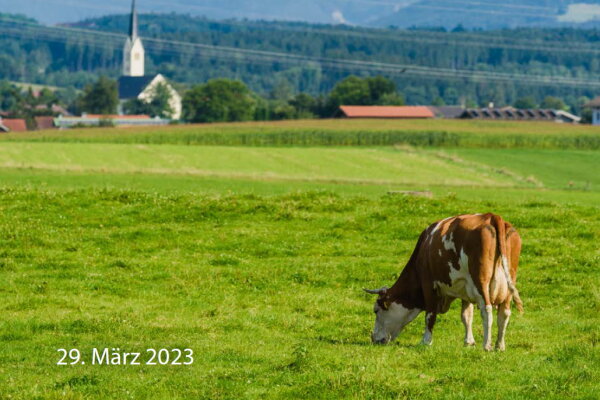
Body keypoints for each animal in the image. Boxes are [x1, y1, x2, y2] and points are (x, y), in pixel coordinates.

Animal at [364, 212, 524, 350]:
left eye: (376, 310)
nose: (374, 339)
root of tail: (491, 216)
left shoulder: (429, 284)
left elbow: (430, 315)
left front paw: (426, 341)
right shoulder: (466, 287)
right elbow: (466, 316)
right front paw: (469, 342)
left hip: (480, 281)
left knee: (487, 310)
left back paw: (487, 345)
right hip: (509, 282)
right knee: (504, 313)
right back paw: (499, 346)